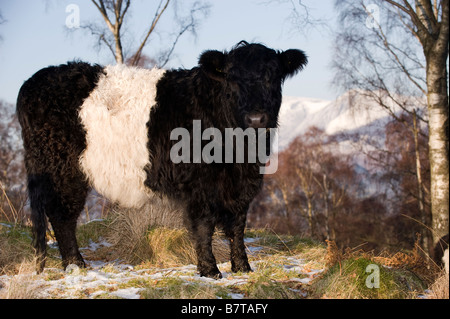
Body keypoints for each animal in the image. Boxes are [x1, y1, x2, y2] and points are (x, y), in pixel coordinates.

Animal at [16, 41, 306, 278]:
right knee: (62, 216)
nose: (256, 118)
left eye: (273, 76)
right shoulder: (201, 183)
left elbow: (237, 226)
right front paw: (210, 271)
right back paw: (76, 265)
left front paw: (243, 268)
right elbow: (205, 225)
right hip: (63, 170)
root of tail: (37, 79)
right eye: (232, 79)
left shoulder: (241, 184)